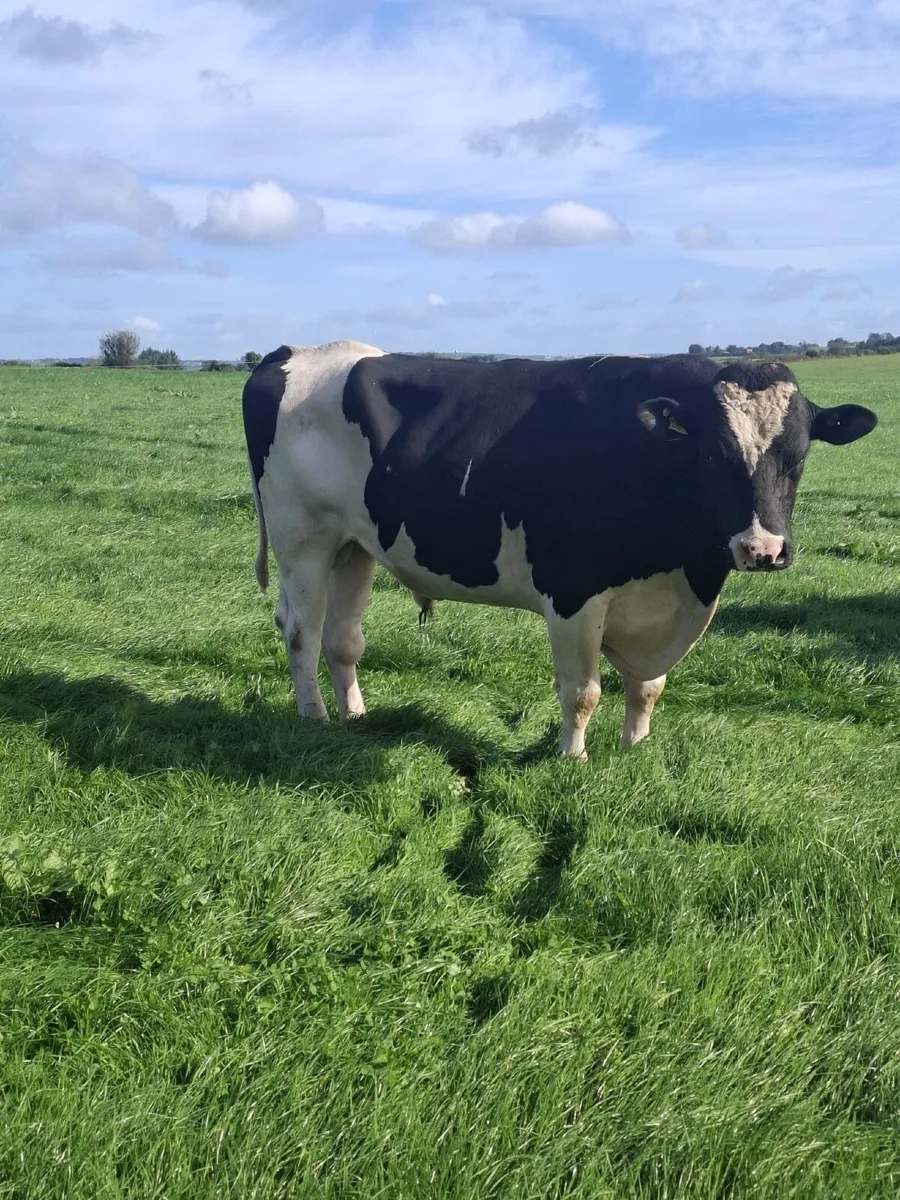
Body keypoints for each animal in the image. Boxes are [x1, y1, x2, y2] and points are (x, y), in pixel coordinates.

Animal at [242, 341, 876, 760]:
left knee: (342, 638)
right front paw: (574, 760)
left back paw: (354, 715)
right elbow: (582, 692)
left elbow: (648, 685)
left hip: (354, 545)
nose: (763, 549)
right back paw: (315, 716)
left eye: (799, 454)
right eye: (714, 453)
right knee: (300, 630)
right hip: (302, 538)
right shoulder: (573, 590)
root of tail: (293, 353)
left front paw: (635, 747)